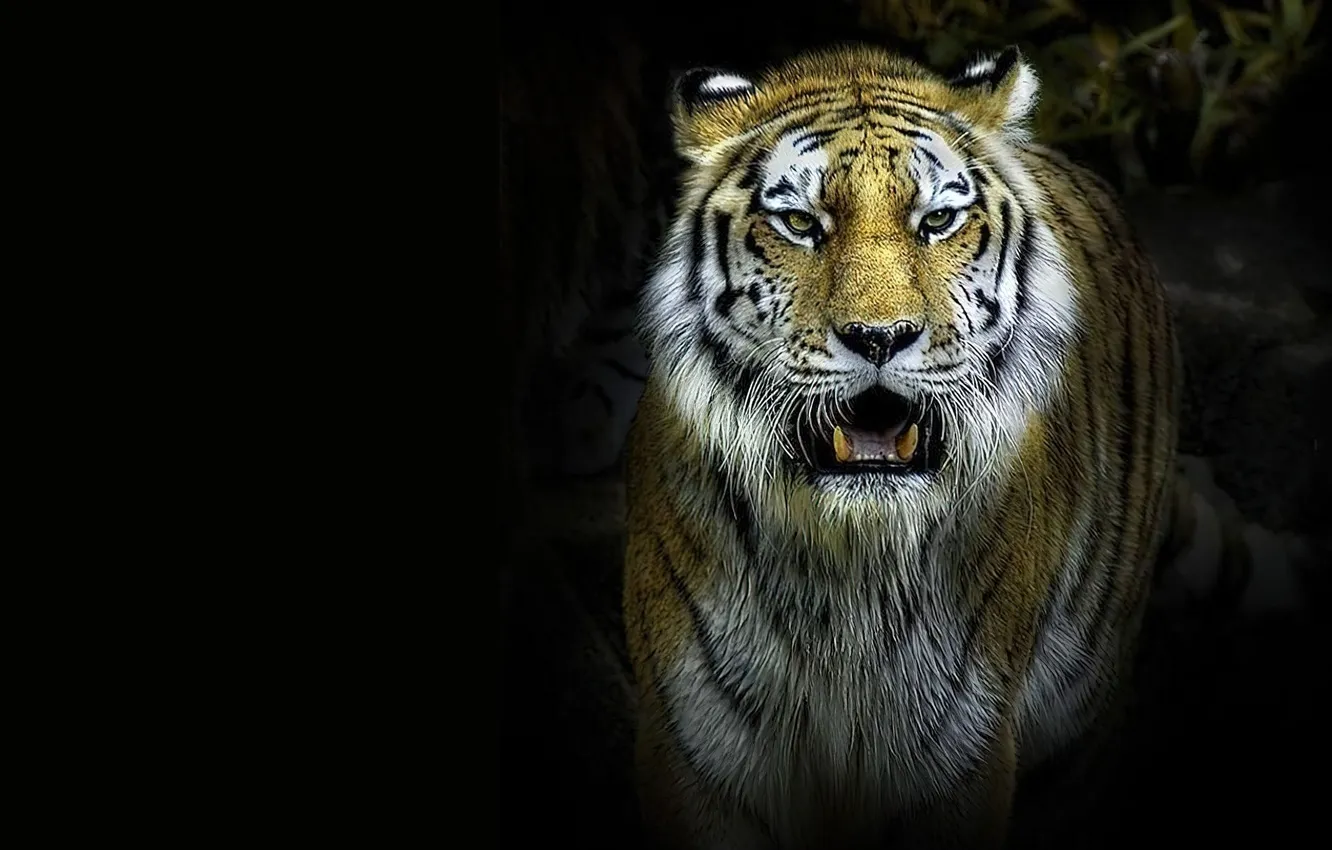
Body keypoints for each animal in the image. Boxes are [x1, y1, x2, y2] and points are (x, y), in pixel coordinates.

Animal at [622, 43, 1181, 849]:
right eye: (800, 223)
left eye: (938, 220)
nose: (880, 337)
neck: (845, 562)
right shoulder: (694, 751)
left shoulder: (960, 756)